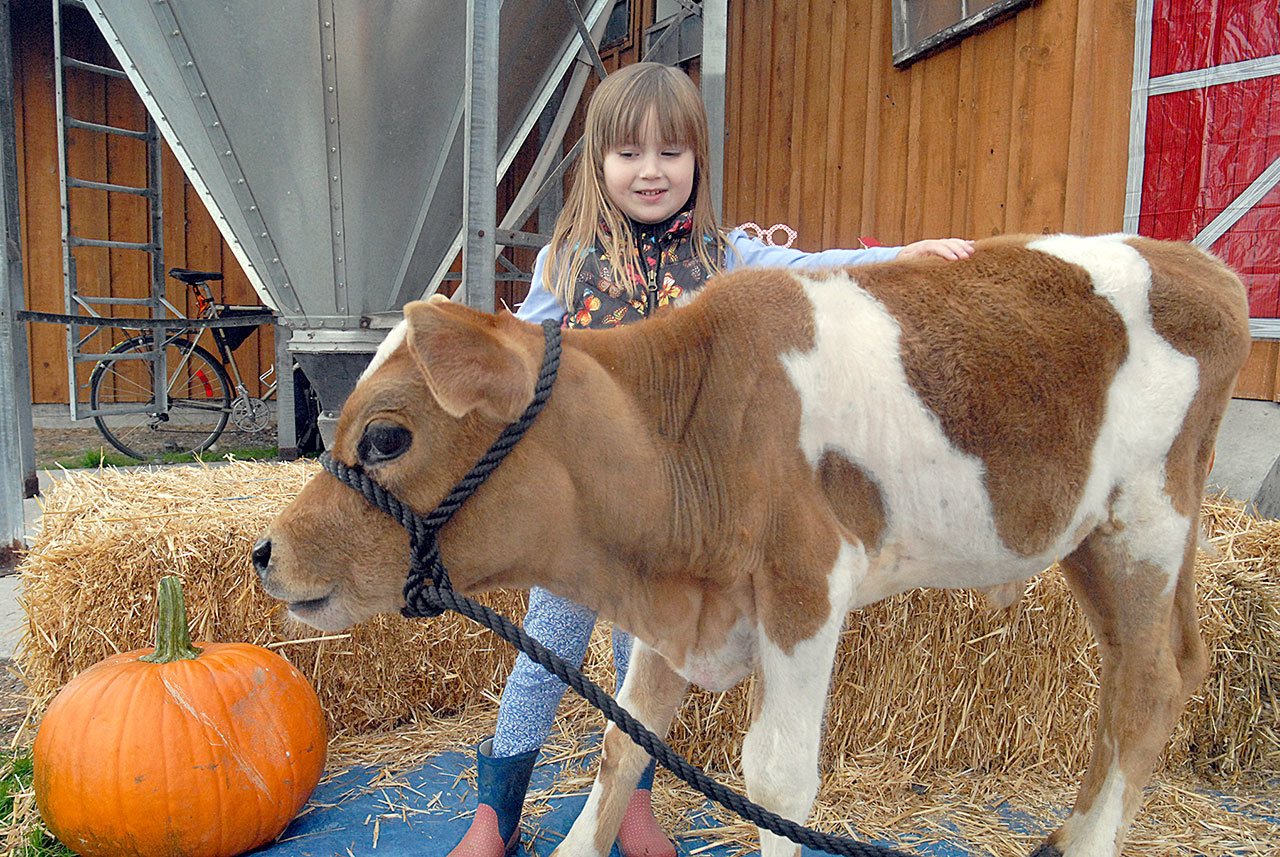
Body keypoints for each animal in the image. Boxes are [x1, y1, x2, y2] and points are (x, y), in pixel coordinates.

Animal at [254, 234, 1252, 857]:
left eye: (387, 436)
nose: (265, 552)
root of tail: (1206, 267)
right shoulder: (678, 611)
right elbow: (623, 745)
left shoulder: (805, 586)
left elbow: (775, 776)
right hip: (1089, 537)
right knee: (1139, 674)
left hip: (1147, 524)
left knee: (1150, 683)